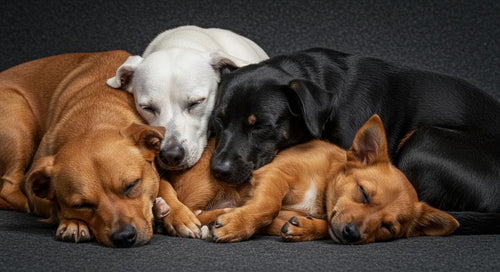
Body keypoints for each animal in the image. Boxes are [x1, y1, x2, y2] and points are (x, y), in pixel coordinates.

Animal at [0, 51, 199, 249]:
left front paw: (178, 214)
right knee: (10, 190)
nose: (124, 236)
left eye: (132, 185)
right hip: (18, 120)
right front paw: (73, 222)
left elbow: (163, 185)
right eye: (81, 205)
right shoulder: (39, 191)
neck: (94, 118)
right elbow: (55, 208)